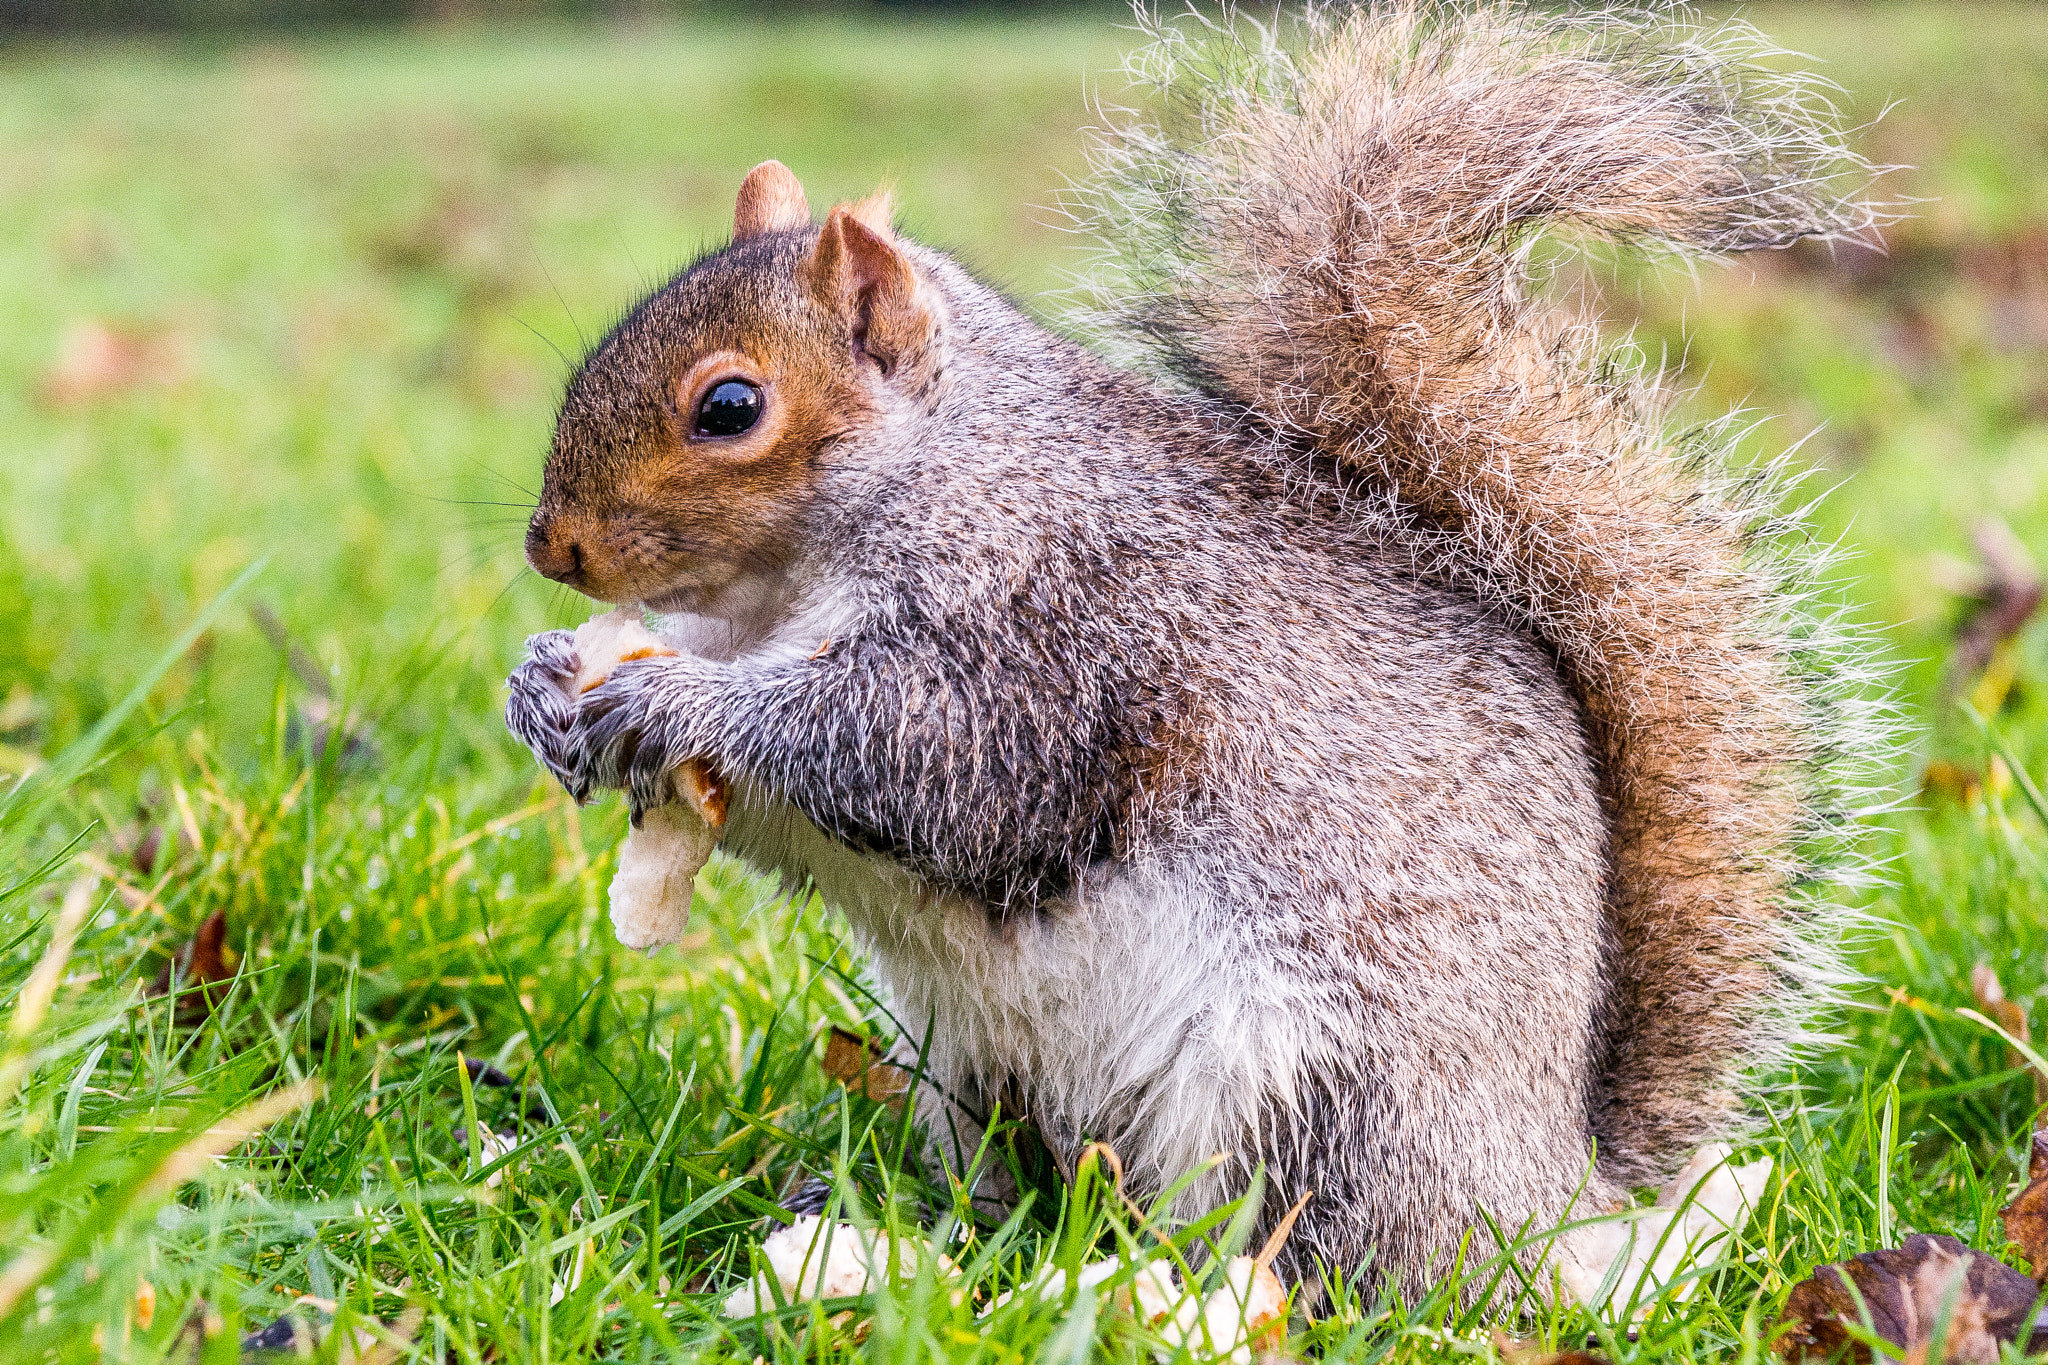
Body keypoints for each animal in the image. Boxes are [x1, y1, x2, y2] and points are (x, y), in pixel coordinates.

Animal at [506, 1, 1890, 1299]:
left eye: (729, 407)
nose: (549, 547)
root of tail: (1545, 1204)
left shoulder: (1053, 632)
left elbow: (928, 765)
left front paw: (676, 705)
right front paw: (546, 684)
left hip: (1307, 1095)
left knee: (1324, 1254)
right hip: (963, 1069)